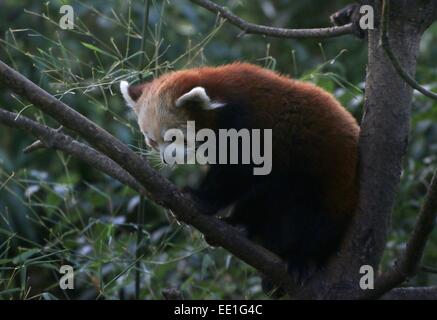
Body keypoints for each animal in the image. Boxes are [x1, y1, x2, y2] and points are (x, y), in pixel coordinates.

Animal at [119, 62, 358, 290]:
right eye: (152, 141)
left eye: (173, 137)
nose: (168, 158)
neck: (224, 102)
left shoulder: (252, 125)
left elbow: (235, 174)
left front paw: (198, 198)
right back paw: (240, 225)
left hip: (331, 182)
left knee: (317, 221)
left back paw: (303, 259)